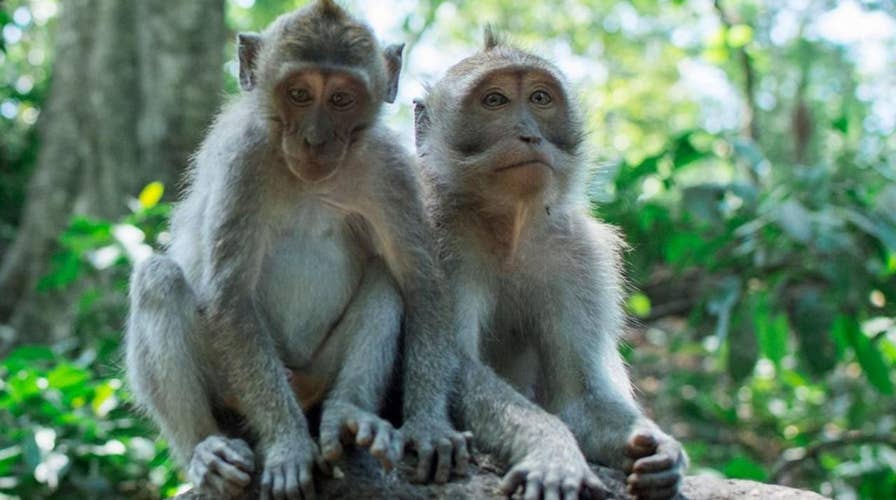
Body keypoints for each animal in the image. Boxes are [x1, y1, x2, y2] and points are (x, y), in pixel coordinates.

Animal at [125, 2, 468, 498]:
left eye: (342, 99)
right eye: (299, 93)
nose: (315, 139)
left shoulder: (390, 168)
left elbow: (421, 284)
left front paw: (428, 426)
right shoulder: (243, 160)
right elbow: (230, 298)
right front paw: (287, 446)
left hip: (317, 374)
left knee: (386, 278)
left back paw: (349, 417)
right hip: (231, 387)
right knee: (159, 280)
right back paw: (205, 451)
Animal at [414, 28, 688, 500]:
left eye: (540, 98)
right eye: (495, 101)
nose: (528, 134)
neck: (508, 225)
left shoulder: (579, 256)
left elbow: (578, 398)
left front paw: (661, 450)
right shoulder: (432, 231)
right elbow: (453, 364)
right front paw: (553, 448)